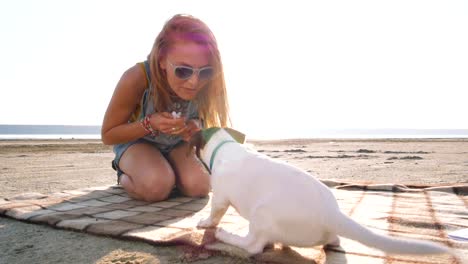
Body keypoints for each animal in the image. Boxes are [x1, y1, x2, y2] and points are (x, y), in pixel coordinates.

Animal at [188, 128, 452, 256]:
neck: (225, 146)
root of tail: (331, 213)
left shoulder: (220, 198)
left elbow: (214, 214)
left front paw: (206, 224)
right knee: (333, 240)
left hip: (261, 214)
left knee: (253, 245)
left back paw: (226, 236)